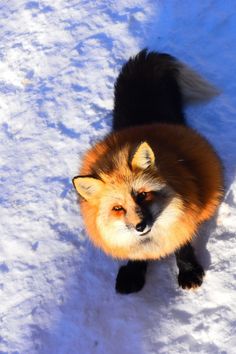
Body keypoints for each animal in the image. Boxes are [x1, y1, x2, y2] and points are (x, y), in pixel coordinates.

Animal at [73, 49, 224, 294]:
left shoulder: (186, 210)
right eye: (117, 208)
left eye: (143, 195)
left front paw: (188, 270)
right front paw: (134, 272)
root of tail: (143, 120)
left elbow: (182, 244)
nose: (140, 226)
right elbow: (136, 253)